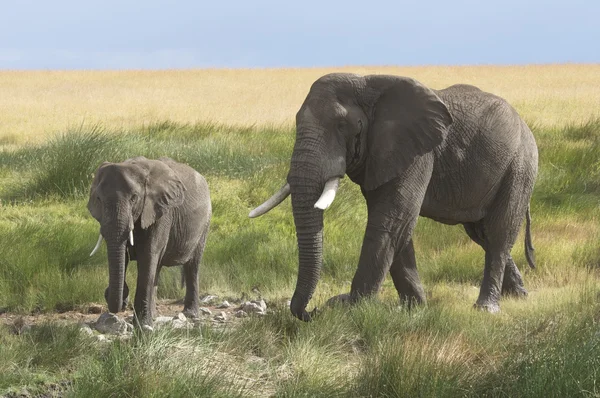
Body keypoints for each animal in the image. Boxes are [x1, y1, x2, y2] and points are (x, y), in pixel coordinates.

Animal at [87, 156, 211, 326]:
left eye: (134, 198)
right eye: (98, 199)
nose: (121, 300)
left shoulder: (160, 212)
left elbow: (147, 256)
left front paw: (142, 324)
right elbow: (125, 256)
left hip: (204, 224)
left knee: (192, 266)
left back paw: (190, 314)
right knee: (157, 268)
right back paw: (154, 315)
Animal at [250, 74, 540, 320]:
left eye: (344, 126)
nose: (312, 312)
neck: (366, 84)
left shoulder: (417, 153)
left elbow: (392, 220)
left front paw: (353, 308)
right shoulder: (381, 154)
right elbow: (399, 225)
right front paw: (416, 308)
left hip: (520, 165)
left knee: (499, 232)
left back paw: (486, 308)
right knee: (481, 233)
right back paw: (519, 296)